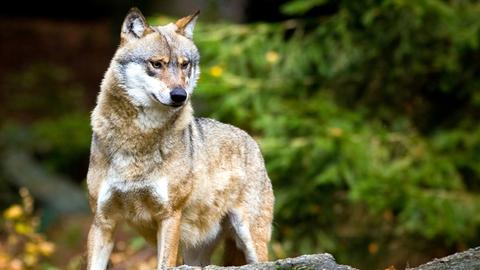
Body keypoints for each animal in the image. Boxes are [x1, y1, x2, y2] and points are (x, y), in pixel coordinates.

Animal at [85, 7, 274, 268]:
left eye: (185, 65)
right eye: (157, 64)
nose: (179, 95)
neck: (139, 137)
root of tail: (251, 139)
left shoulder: (169, 216)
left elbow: (164, 263)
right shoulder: (102, 221)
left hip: (250, 238)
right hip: (196, 254)